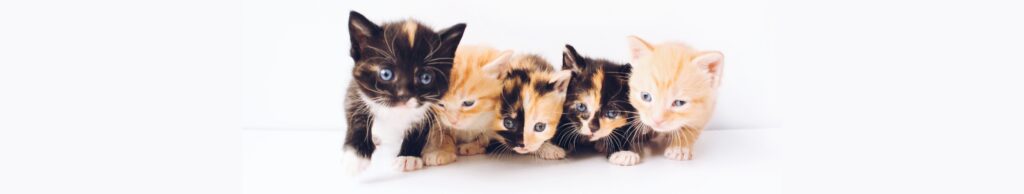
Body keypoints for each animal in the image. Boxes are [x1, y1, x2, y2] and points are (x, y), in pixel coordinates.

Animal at [344, 11, 468, 173]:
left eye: (425, 77)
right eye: (386, 74)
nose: (405, 95)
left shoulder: (432, 107)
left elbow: (420, 127)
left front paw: (408, 157)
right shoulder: (355, 90)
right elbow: (357, 116)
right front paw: (355, 157)